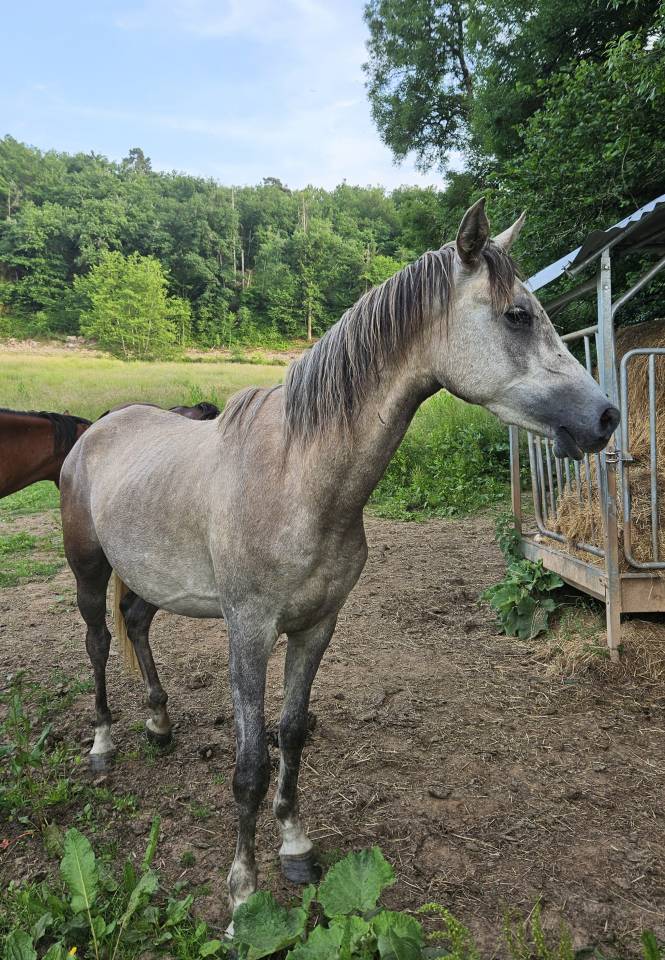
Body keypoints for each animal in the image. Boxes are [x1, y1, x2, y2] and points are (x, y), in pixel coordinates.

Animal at [59, 200, 619, 916]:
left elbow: (292, 733)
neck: (297, 475)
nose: (605, 417)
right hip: (87, 568)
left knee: (134, 622)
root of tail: (96, 428)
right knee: (98, 642)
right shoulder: (249, 630)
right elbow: (249, 763)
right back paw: (103, 745)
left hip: (148, 578)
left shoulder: (317, 626)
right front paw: (243, 895)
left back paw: (159, 724)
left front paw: (295, 848)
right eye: (518, 314)